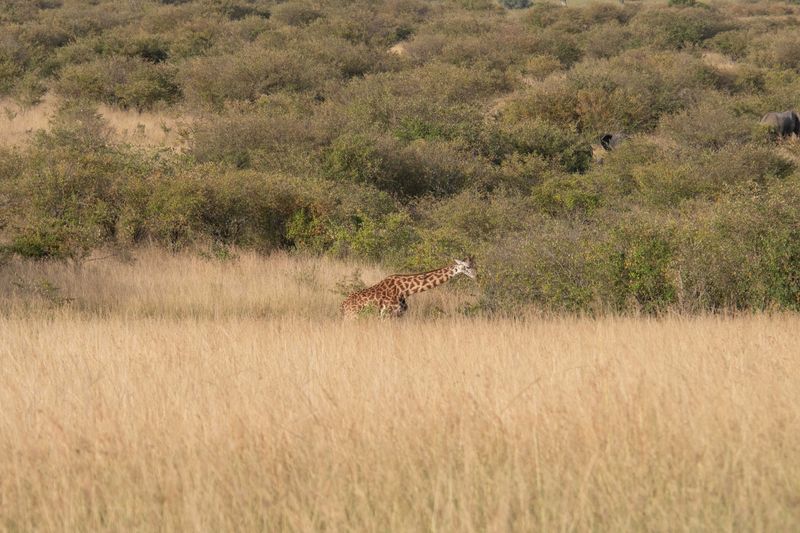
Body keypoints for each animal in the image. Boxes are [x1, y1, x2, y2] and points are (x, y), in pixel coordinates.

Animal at [338, 256, 476, 318]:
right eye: (467, 267)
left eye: (475, 265)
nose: (476, 275)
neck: (405, 290)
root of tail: (343, 305)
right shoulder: (388, 314)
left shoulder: (399, 315)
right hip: (352, 316)